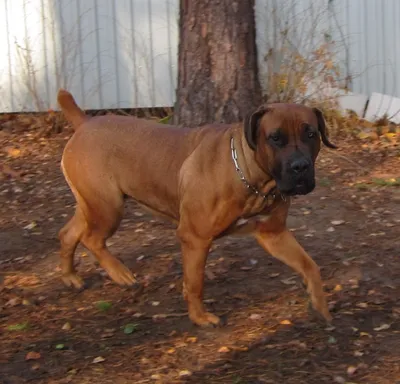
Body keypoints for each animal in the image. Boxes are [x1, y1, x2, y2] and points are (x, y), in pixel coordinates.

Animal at [57, 90, 338, 328]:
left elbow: (310, 265)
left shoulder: (274, 234)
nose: (300, 167)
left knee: (69, 233)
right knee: (91, 239)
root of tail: (85, 122)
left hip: (92, 205)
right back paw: (121, 274)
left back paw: (71, 277)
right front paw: (200, 317)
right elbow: (195, 283)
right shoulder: (195, 238)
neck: (252, 177)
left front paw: (320, 305)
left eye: (311, 134)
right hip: (108, 207)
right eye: (276, 138)